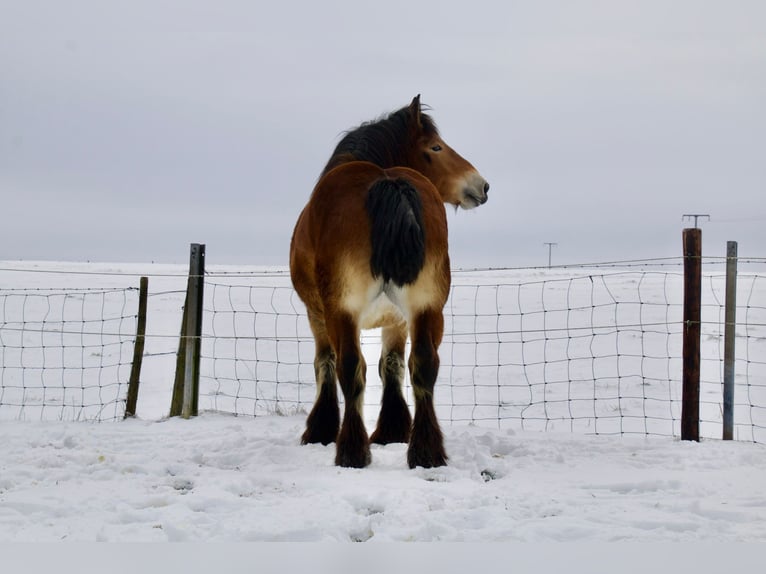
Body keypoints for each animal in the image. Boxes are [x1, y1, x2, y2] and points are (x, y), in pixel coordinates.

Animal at [288, 97, 492, 470]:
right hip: (427, 307)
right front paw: (394, 431)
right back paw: (426, 452)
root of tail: (387, 183)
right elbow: (393, 365)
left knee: (351, 368)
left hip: (342, 311)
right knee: (424, 365)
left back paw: (352, 451)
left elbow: (327, 363)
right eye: (435, 147)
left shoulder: (317, 313)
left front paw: (321, 430)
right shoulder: (397, 319)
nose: (481, 186)